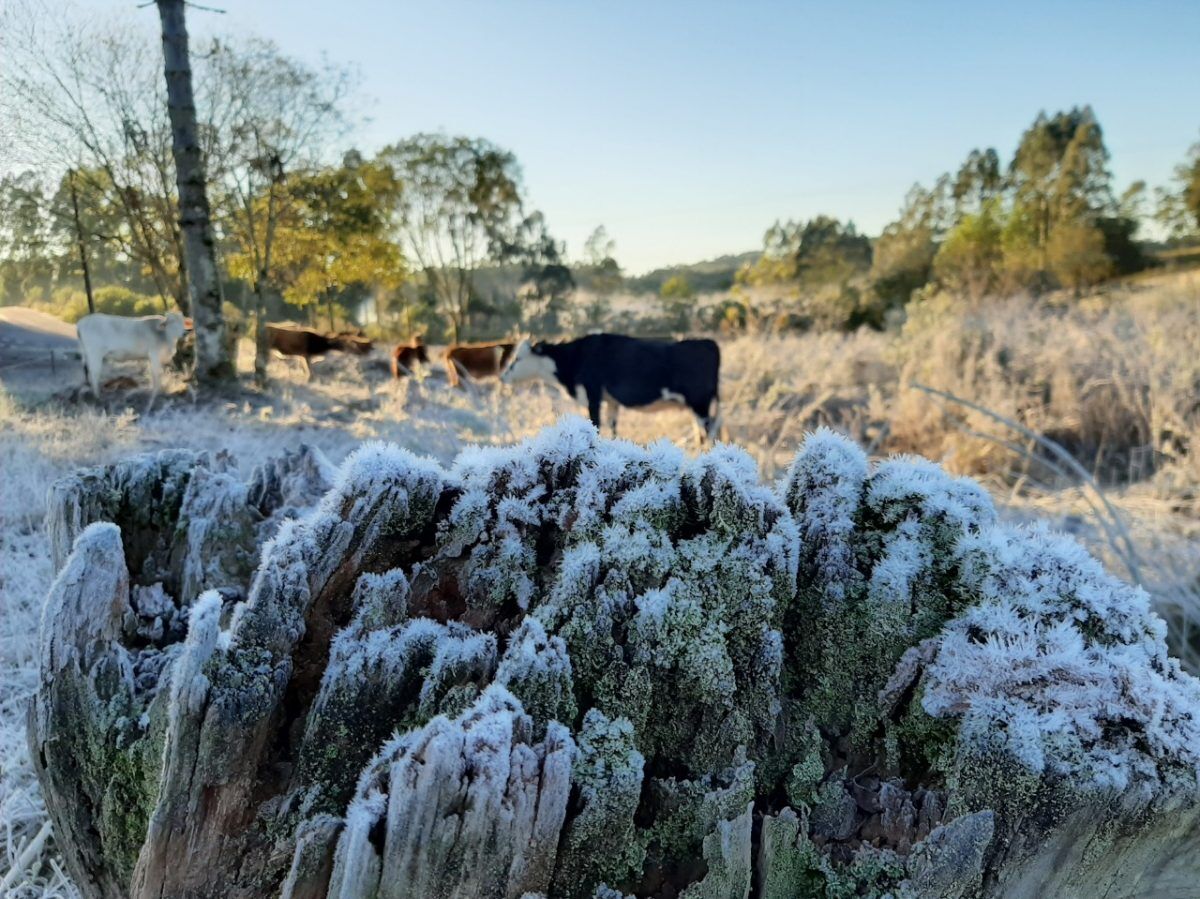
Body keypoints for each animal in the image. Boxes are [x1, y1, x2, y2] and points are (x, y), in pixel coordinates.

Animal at [499, 333, 720, 439]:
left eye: (517, 358)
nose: (502, 377)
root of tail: (708, 342)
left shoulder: (593, 395)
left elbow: (596, 425)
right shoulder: (611, 402)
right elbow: (612, 427)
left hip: (700, 403)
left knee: (708, 433)